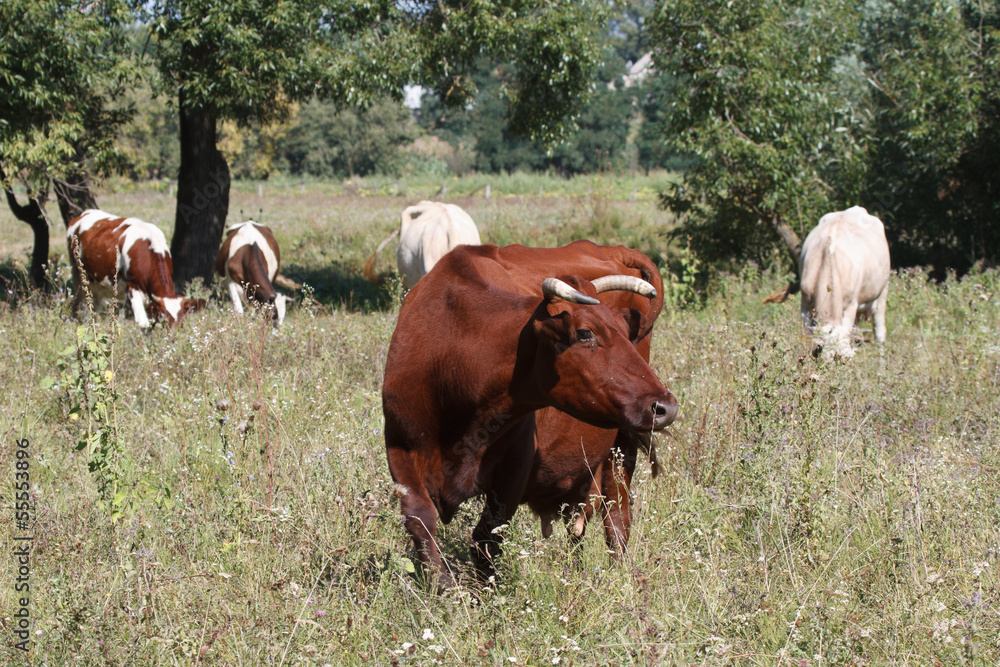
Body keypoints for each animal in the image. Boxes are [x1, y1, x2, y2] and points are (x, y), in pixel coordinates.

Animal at [67, 209, 204, 327]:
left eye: (181, 321)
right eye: (164, 317)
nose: (172, 336)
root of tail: (83, 214)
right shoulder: (133, 287)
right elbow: (143, 323)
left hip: (96, 284)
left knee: (94, 305)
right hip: (78, 275)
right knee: (79, 302)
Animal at [382, 241, 678, 588]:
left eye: (624, 330)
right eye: (585, 333)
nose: (666, 406)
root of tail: (607, 248)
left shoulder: (516, 466)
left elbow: (486, 539)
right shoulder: (399, 445)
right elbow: (420, 519)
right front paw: (440, 590)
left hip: (622, 444)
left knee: (616, 515)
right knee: (578, 524)